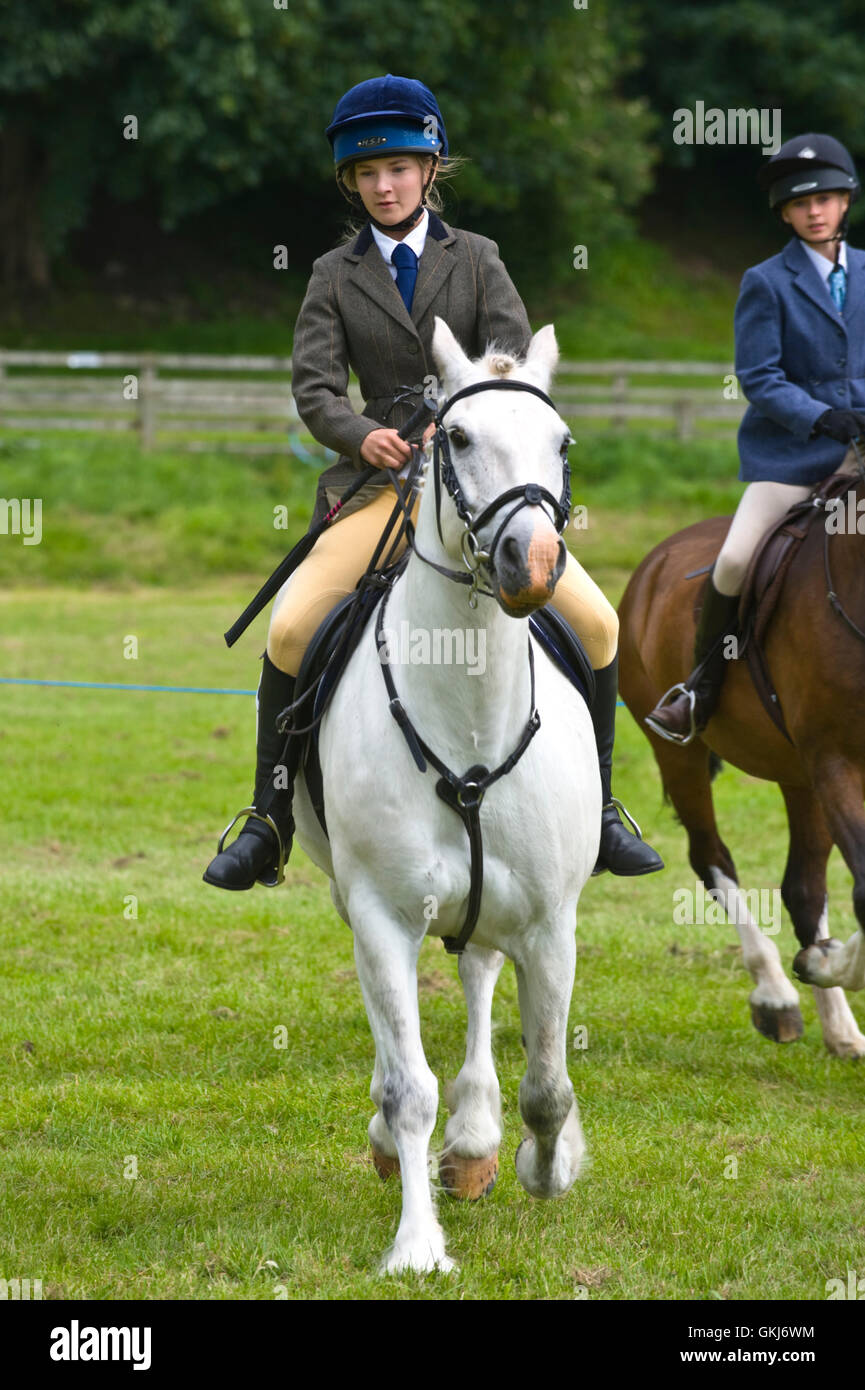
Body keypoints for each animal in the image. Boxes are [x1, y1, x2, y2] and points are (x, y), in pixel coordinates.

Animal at [291, 317, 600, 1274]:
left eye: (562, 443)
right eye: (453, 438)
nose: (530, 562)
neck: (466, 720)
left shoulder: (550, 923)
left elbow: (547, 1082)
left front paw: (546, 1166)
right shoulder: (381, 916)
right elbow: (407, 1087)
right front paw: (417, 1245)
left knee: (475, 973)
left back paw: (474, 1141)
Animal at [617, 498, 865, 1059]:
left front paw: (823, 962)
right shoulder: (837, 762)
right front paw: (818, 964)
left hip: (800, 777)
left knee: (803, 889)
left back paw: (840, 1026)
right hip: (681, 754)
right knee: (711, 858)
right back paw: (776, 993)